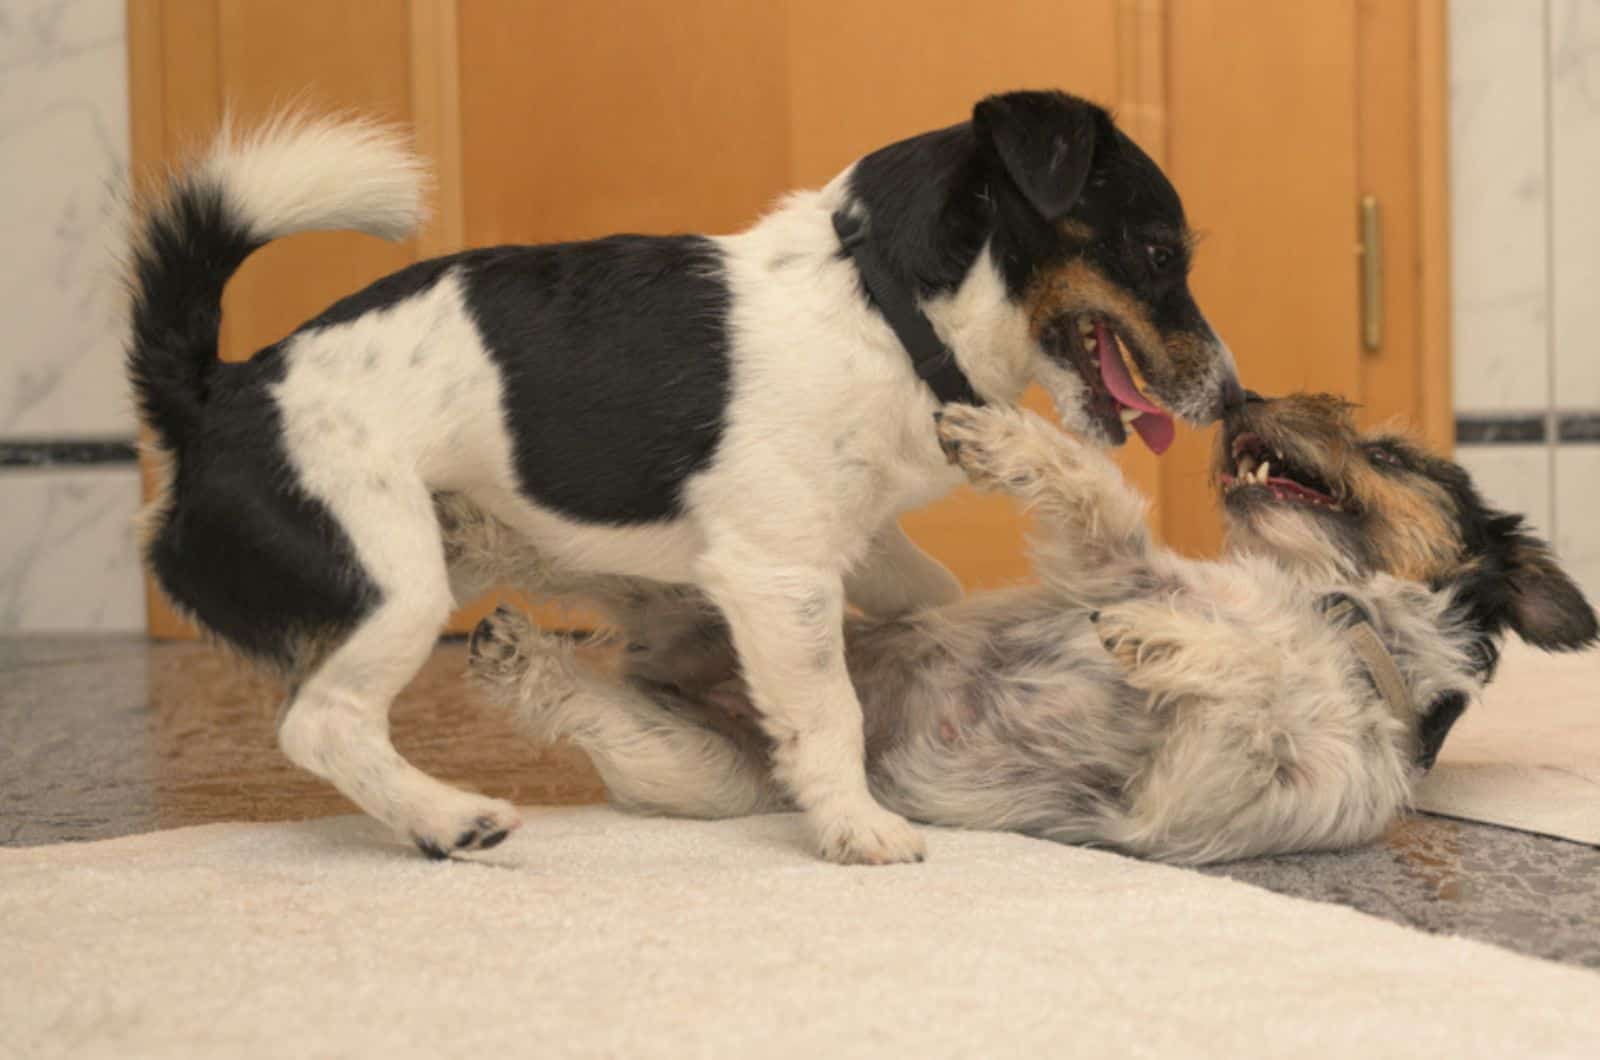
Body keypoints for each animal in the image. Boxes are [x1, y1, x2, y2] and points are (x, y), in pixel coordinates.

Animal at [131, 91, 1241, 864]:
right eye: (1158, 252)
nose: (1232, 397)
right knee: (323, 723)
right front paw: (855, 824)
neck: (881, 305)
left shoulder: (825, 545)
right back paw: (451, 818)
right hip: (392, 581)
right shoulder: (779, 574)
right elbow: (826, 710)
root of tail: (217, 391)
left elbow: (919, 585)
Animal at [460, 393, 1587, 871]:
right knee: (581, 561)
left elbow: (1250, 686)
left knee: (593, 692)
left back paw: (520, 652)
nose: (1245, 402)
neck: (1321, 610)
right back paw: (472, 527)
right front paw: (1002, 434)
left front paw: (1165, 641)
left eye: (1390, 451)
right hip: (697, 598)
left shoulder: (1189, 799)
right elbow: (1099, 500)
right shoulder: (1112, 563)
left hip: (703, 766)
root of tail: (672, 663)